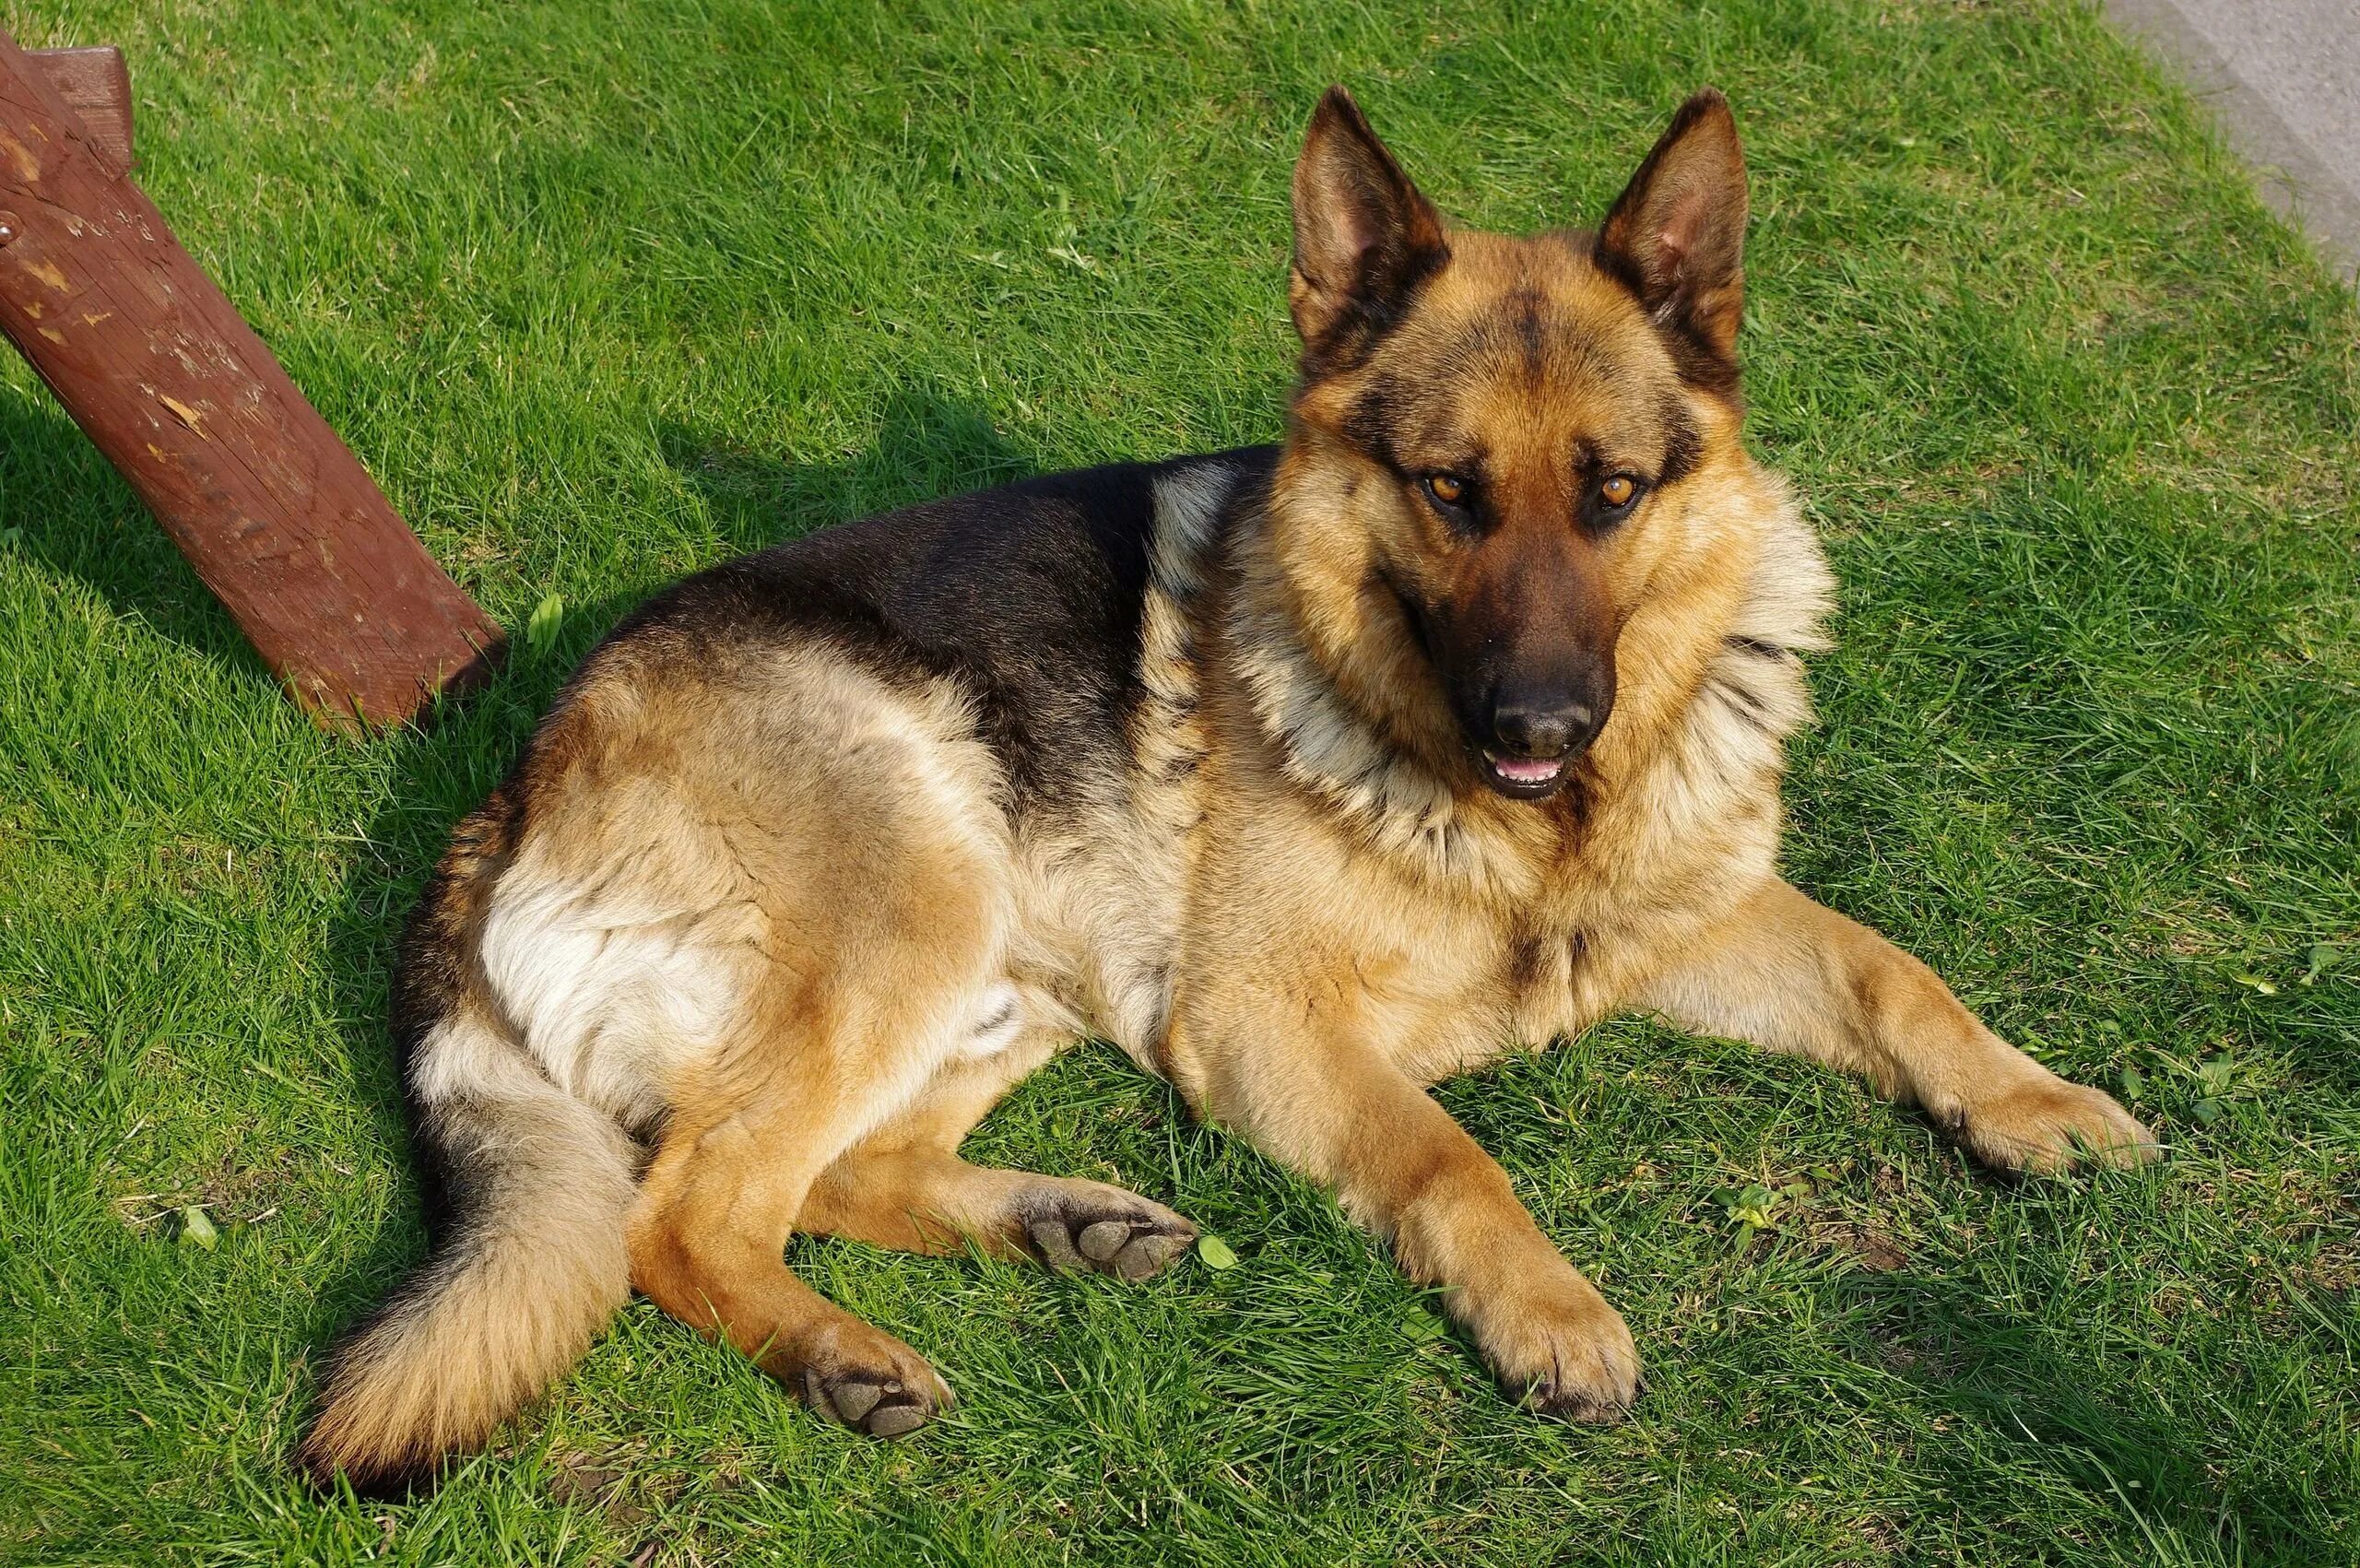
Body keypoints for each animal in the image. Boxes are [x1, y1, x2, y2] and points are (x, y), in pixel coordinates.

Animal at [295, 88, 2161, 1492]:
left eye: (1614, 492)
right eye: (1450, 490)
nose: (1546, 721)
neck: (1532, 828)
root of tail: (514, 785)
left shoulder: (1693, 915)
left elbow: (1893, 971)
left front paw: (2037, 1102)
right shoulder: (1269, 1021)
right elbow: (1447, 1154)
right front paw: (1551, 1311)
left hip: (1010, 980)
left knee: (814, 1175)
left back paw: (1064, 1226)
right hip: (928, 897)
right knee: (677, 1214)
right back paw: (843, 1355)